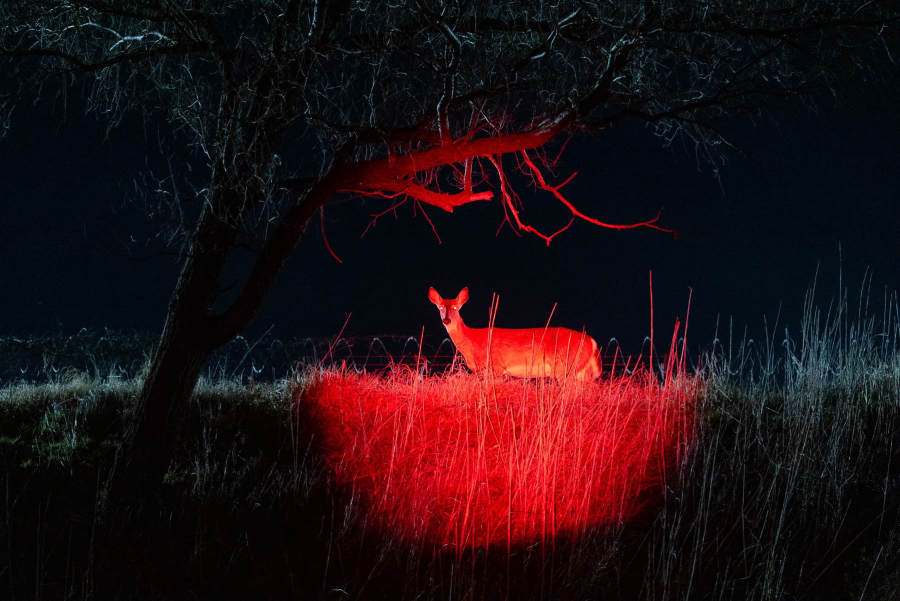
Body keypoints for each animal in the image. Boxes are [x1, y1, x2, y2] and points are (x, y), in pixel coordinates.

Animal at [428, 287, 601, 382]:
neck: (473, 339)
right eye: (440, 307)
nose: (447, 320)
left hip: (567, 367)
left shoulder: (496, 366)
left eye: (456, 307)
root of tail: (592, 341)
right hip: (581, 371)